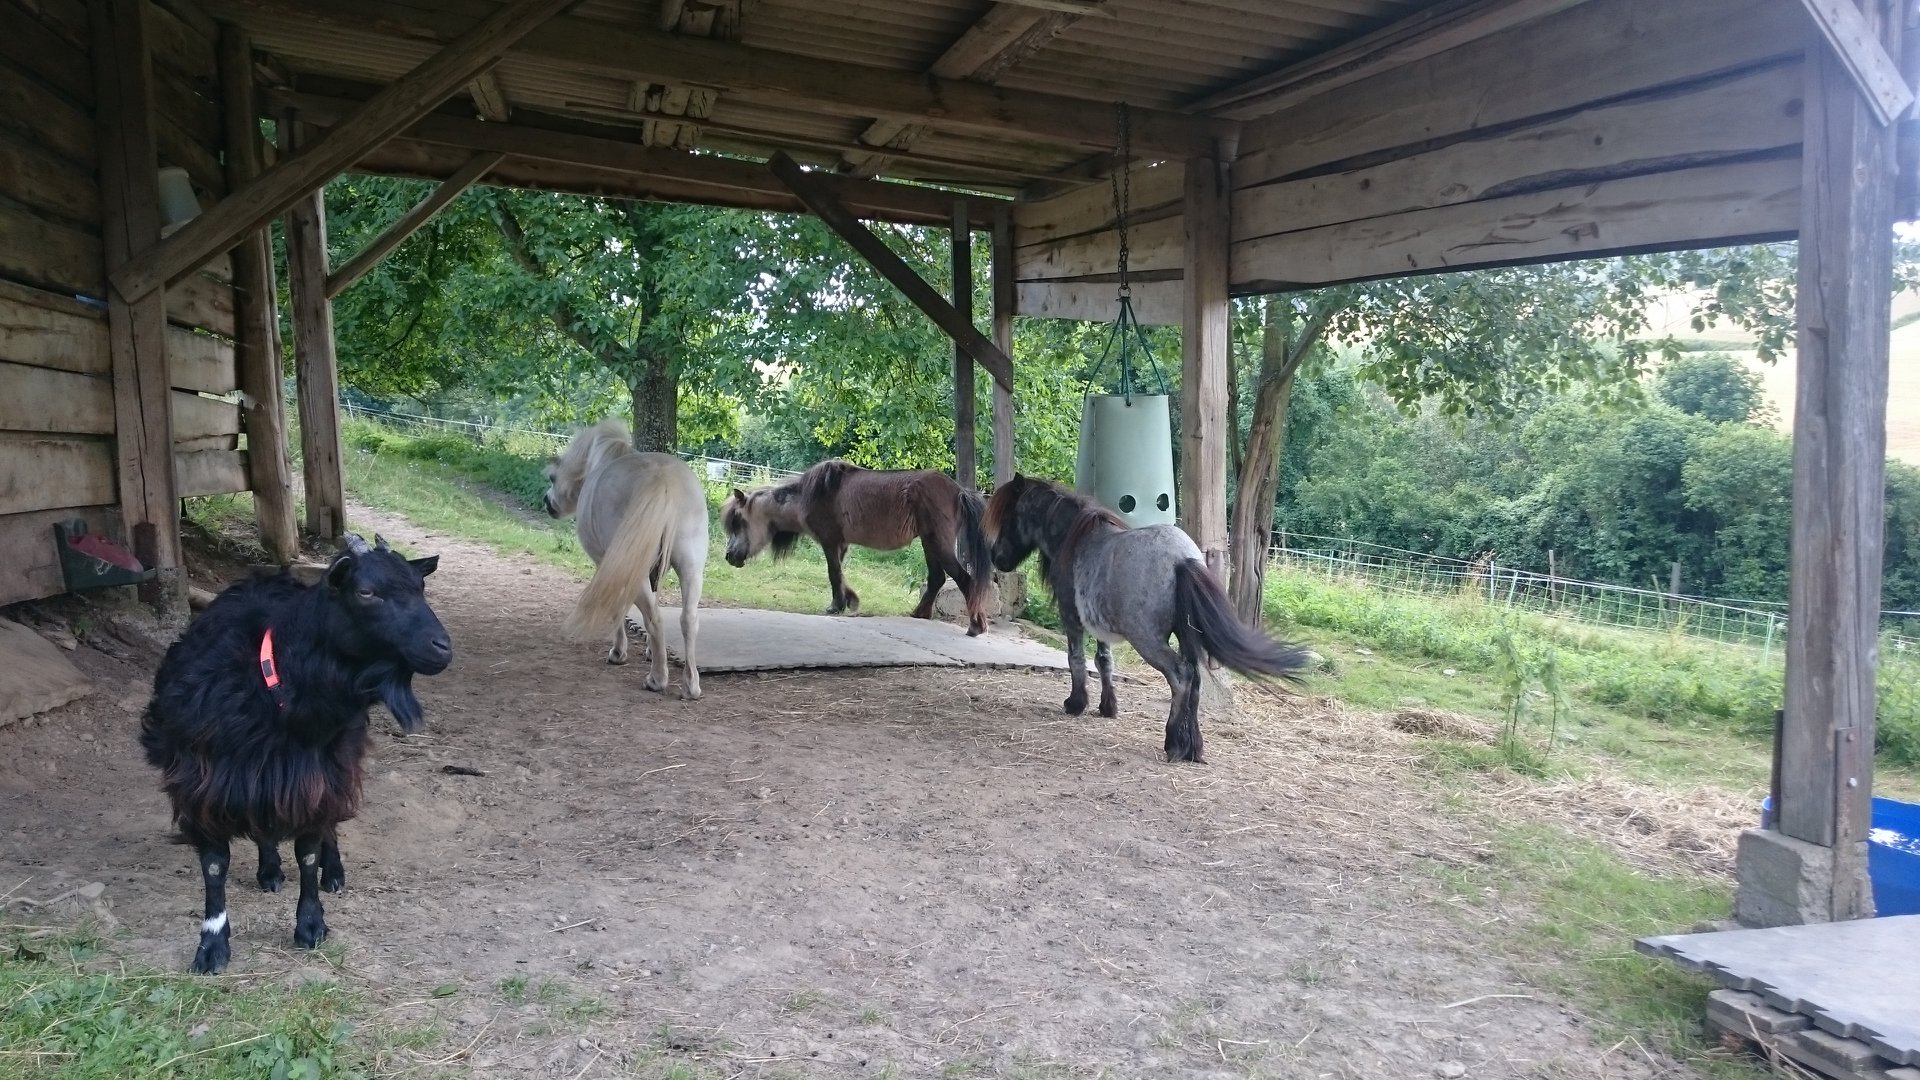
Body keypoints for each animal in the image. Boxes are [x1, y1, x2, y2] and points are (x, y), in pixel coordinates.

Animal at [544, 419, 708, 700]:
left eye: (553, 477)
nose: (548, 502)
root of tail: (663, 481)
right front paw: (651, 651)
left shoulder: (608, 565)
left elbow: (618, 608)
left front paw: (618, 653)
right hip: (691, 569)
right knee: (688, 619)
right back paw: (690, 685)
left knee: (655, 619)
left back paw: (657, 679)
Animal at [720, 459, 995, 636]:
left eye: (738, 521)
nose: (729, 556)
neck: (809, 495)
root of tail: (958, 490)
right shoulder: (841, 544)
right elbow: (841, 574)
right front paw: (850, 600)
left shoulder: (829, 541)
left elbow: (833, 573)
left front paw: (836, 606)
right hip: (929, 542)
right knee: (937, 578)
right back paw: (920, 613)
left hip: (937, 543)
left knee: (964, 580)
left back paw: (976, 626)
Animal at [984, 474, 1312, 763]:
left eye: (1008, 517)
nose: (996, 558)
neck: (1075, 538)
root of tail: (1184, 558)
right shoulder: (1101, 625)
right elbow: (1104, 662)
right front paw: (1107, 707)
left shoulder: (1072, 617)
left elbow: (1076, 659)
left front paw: (1076, 704)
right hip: (1186, 638)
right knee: (1195, 680)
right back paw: (1193, 747)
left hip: (1148, 641)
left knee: (1180, 676)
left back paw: (1174, 743)